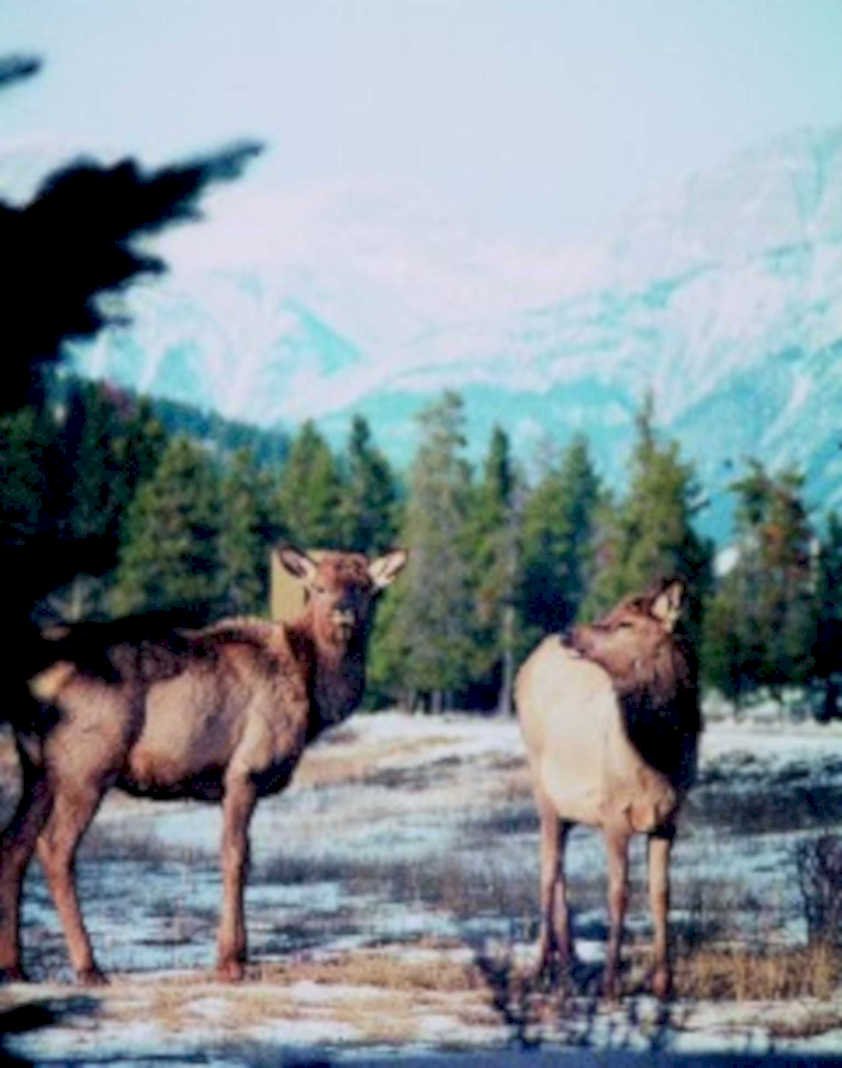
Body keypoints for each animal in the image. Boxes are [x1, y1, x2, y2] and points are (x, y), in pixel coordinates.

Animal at [0, 546, 407, 985]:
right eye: (317, 587)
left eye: (365, 587)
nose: (342, 613)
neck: (315, 699)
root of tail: (28, 681)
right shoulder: (244, 770)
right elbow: (236, 855)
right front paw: (230, 960)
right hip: (86, 765)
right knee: (55, 846)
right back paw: (89, 967)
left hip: (38, 768)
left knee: (14, 843)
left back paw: (14, 966)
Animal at [516, 579, 700, 1000]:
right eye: (612, 615)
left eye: (626, 624)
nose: (570, 634)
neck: (658, 755)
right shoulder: (614, 815)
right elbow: (618, 892)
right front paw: (612, 982)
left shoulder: (669, 819)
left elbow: (661, 894)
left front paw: (664, 983)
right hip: (542, 789)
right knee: (547, 871)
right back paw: (540, 967)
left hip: (569, 809)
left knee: (560, 868)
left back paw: (569, 959)